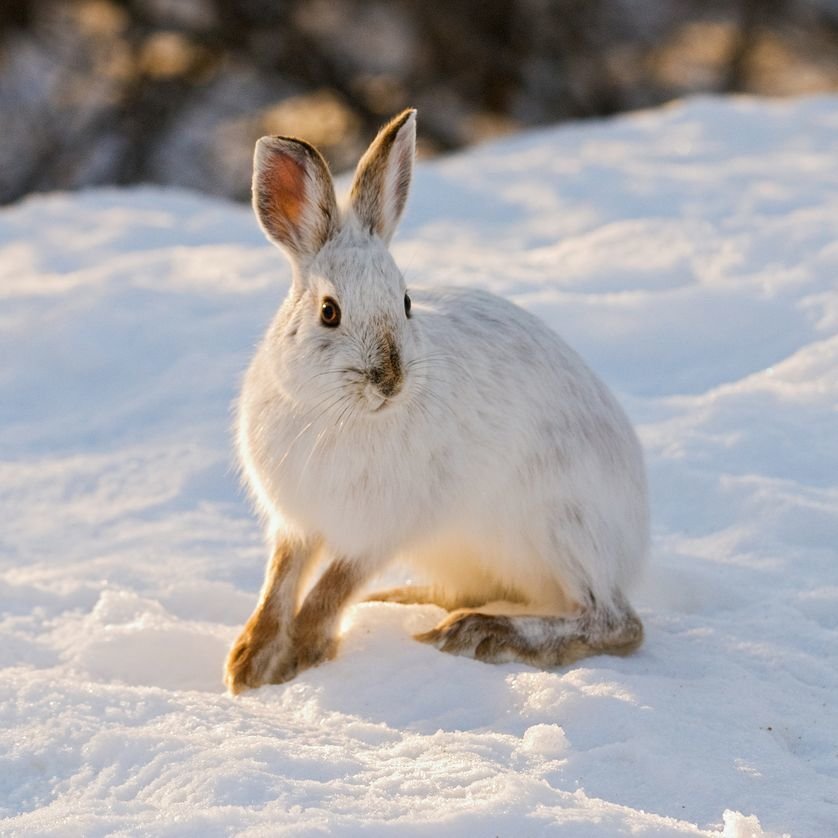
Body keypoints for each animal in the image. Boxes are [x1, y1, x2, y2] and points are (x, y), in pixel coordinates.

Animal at [224, 109, 649, 694]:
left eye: (405, 302)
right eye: (329, 312)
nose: (390, 380)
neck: (338, 415)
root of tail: (634, 541)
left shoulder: (385, 527)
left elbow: (330, 588)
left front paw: (301, 656)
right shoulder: (296, 524)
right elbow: (281, 582)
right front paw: (249, 662)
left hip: (563, 525)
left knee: (616, 623)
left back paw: (481, 633)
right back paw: (403, 601)